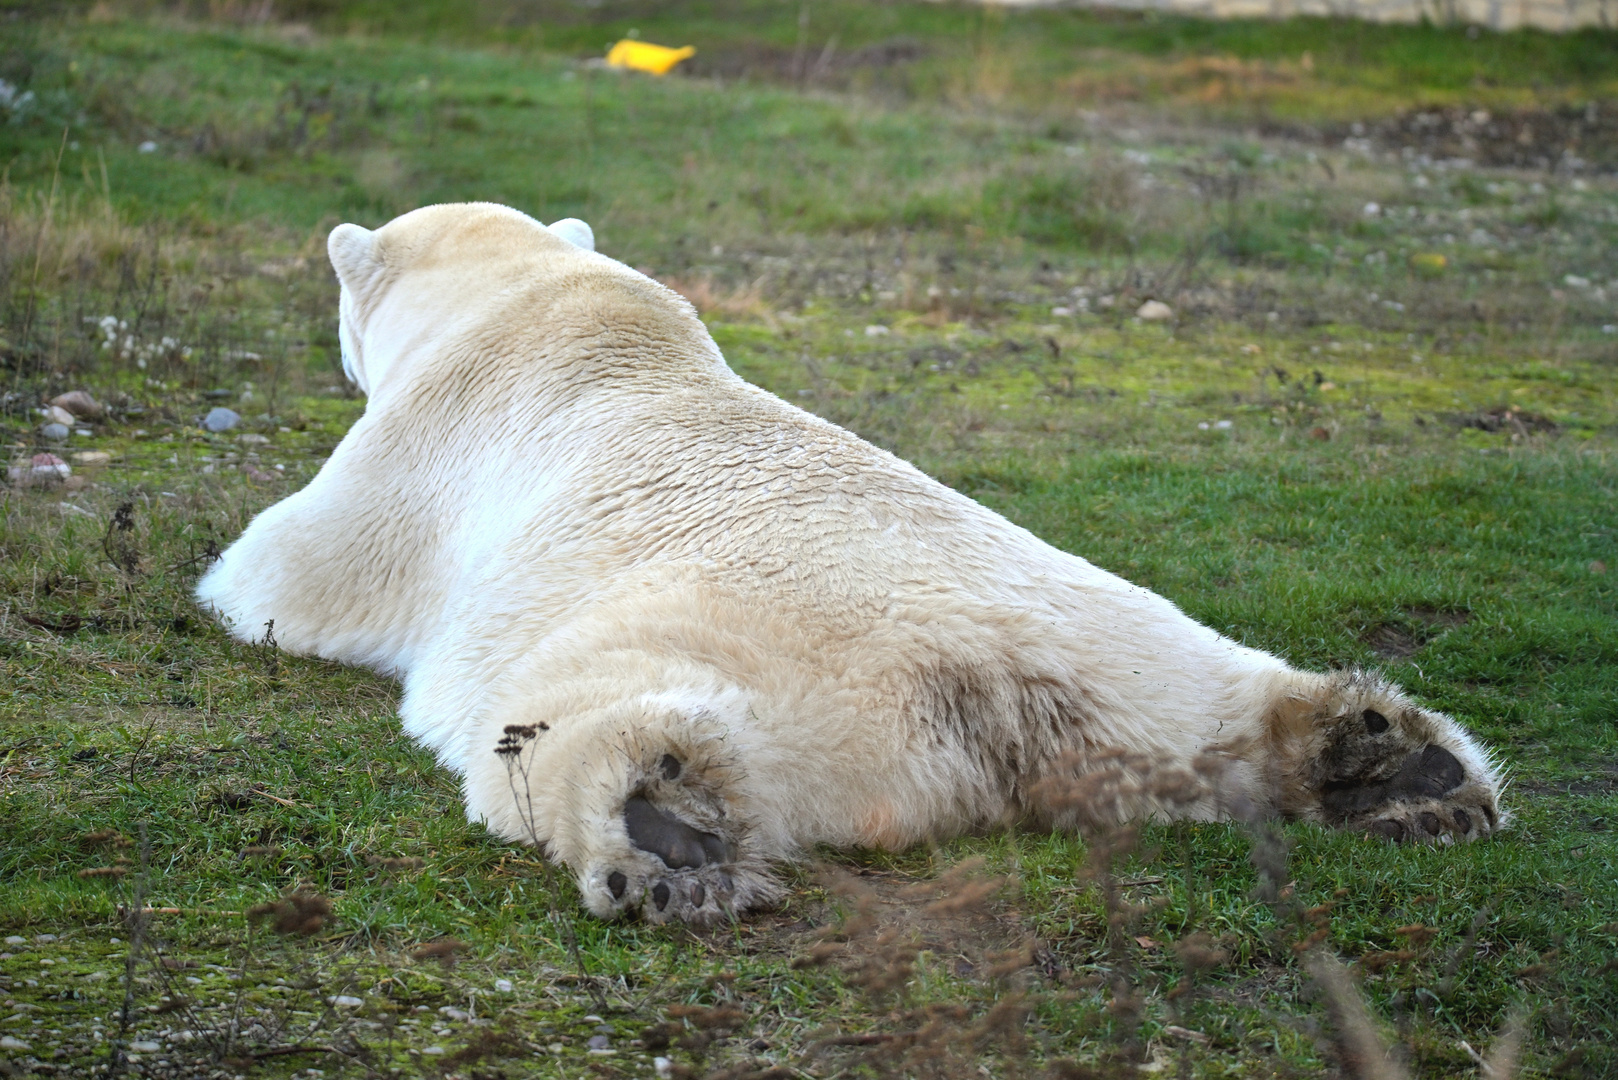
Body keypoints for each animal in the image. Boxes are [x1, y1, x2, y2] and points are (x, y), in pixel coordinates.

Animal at [199, 204, 1501, 932]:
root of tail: (997, 688)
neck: (540, 298)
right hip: (1130, 642)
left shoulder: (415, 459)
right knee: (1225, 696)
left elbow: (282, 574)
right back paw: (1388, 764)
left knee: (561, 720)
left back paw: (662, 830)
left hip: (732, 651)